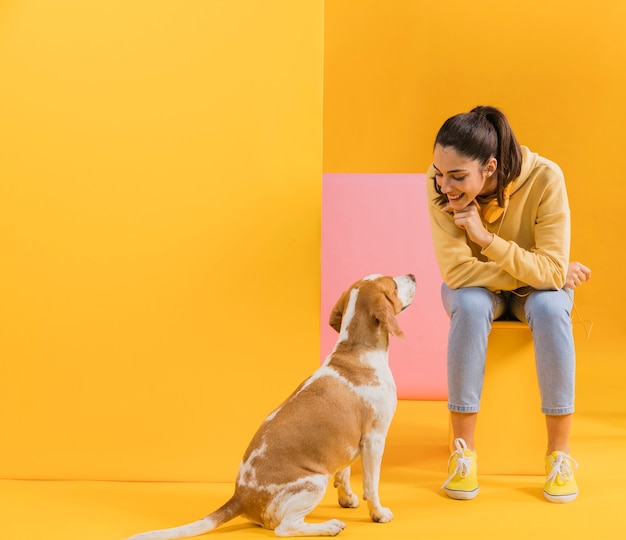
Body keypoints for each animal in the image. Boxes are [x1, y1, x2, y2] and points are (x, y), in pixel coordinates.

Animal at [123, 276, 412, 536]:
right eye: (393, 285)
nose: (413, 275)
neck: (356, 350)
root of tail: (239, 496)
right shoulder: (374, 439)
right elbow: (371, 485)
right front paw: (378, 514)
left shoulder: (352, 441)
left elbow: (344, 474)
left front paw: (347, 499)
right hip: (314, 481)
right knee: (285, 528)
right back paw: (328, 526)